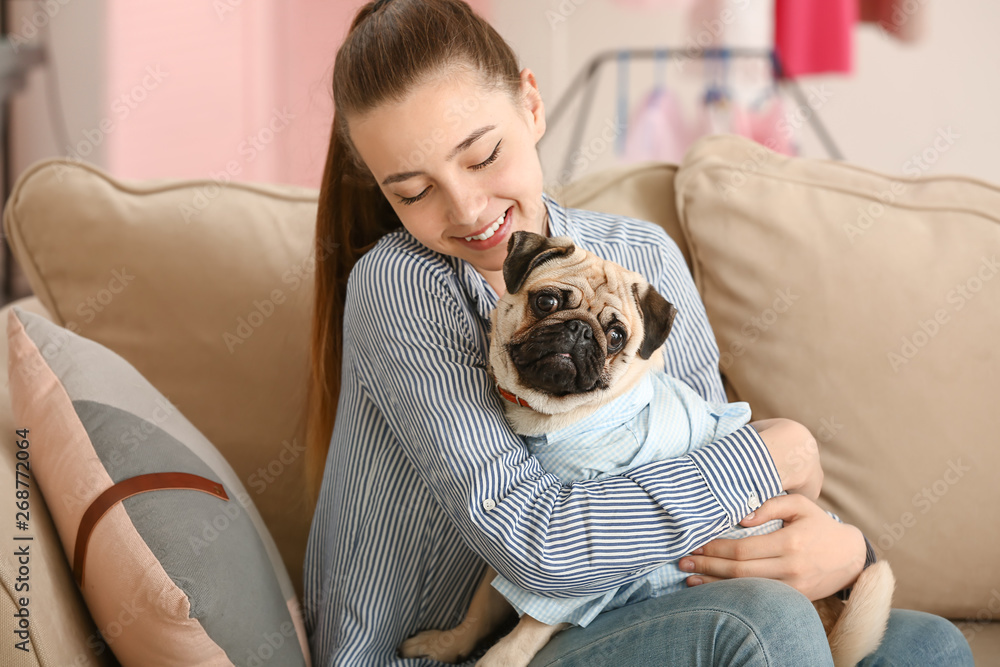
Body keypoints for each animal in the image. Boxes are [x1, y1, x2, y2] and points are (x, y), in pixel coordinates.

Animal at [402, 232, 896, 664]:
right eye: (546, 302)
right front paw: (446, 644)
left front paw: (495, 658)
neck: (559, 418)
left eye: (616, 337)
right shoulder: (512, 557)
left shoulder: (581, 571)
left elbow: (523, 633)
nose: (580, 331)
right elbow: (479, 609)